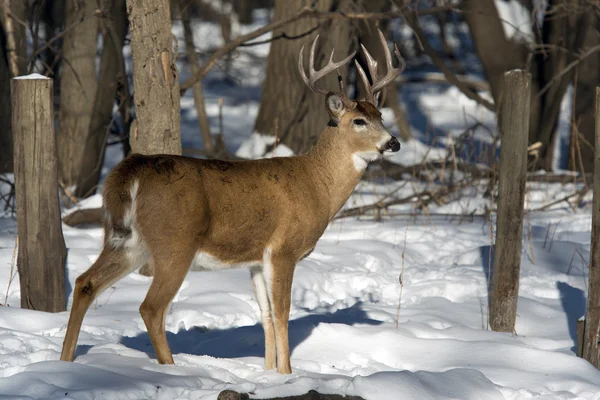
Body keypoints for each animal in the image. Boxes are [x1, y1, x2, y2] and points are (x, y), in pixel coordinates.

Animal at [59, 28, 404, 376]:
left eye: (380, 115)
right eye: (359, 121)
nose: (394, 142)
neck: (316, 185)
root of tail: (131, 170)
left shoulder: (256, 259)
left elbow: (266, 316)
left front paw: (268, 373)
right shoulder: (284, 249)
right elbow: (282, 313)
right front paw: (287, 373)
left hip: (125, 240)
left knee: (85, 282)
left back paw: (64, 361)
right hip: (174, 242)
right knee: (151, 307)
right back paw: (172, 368)